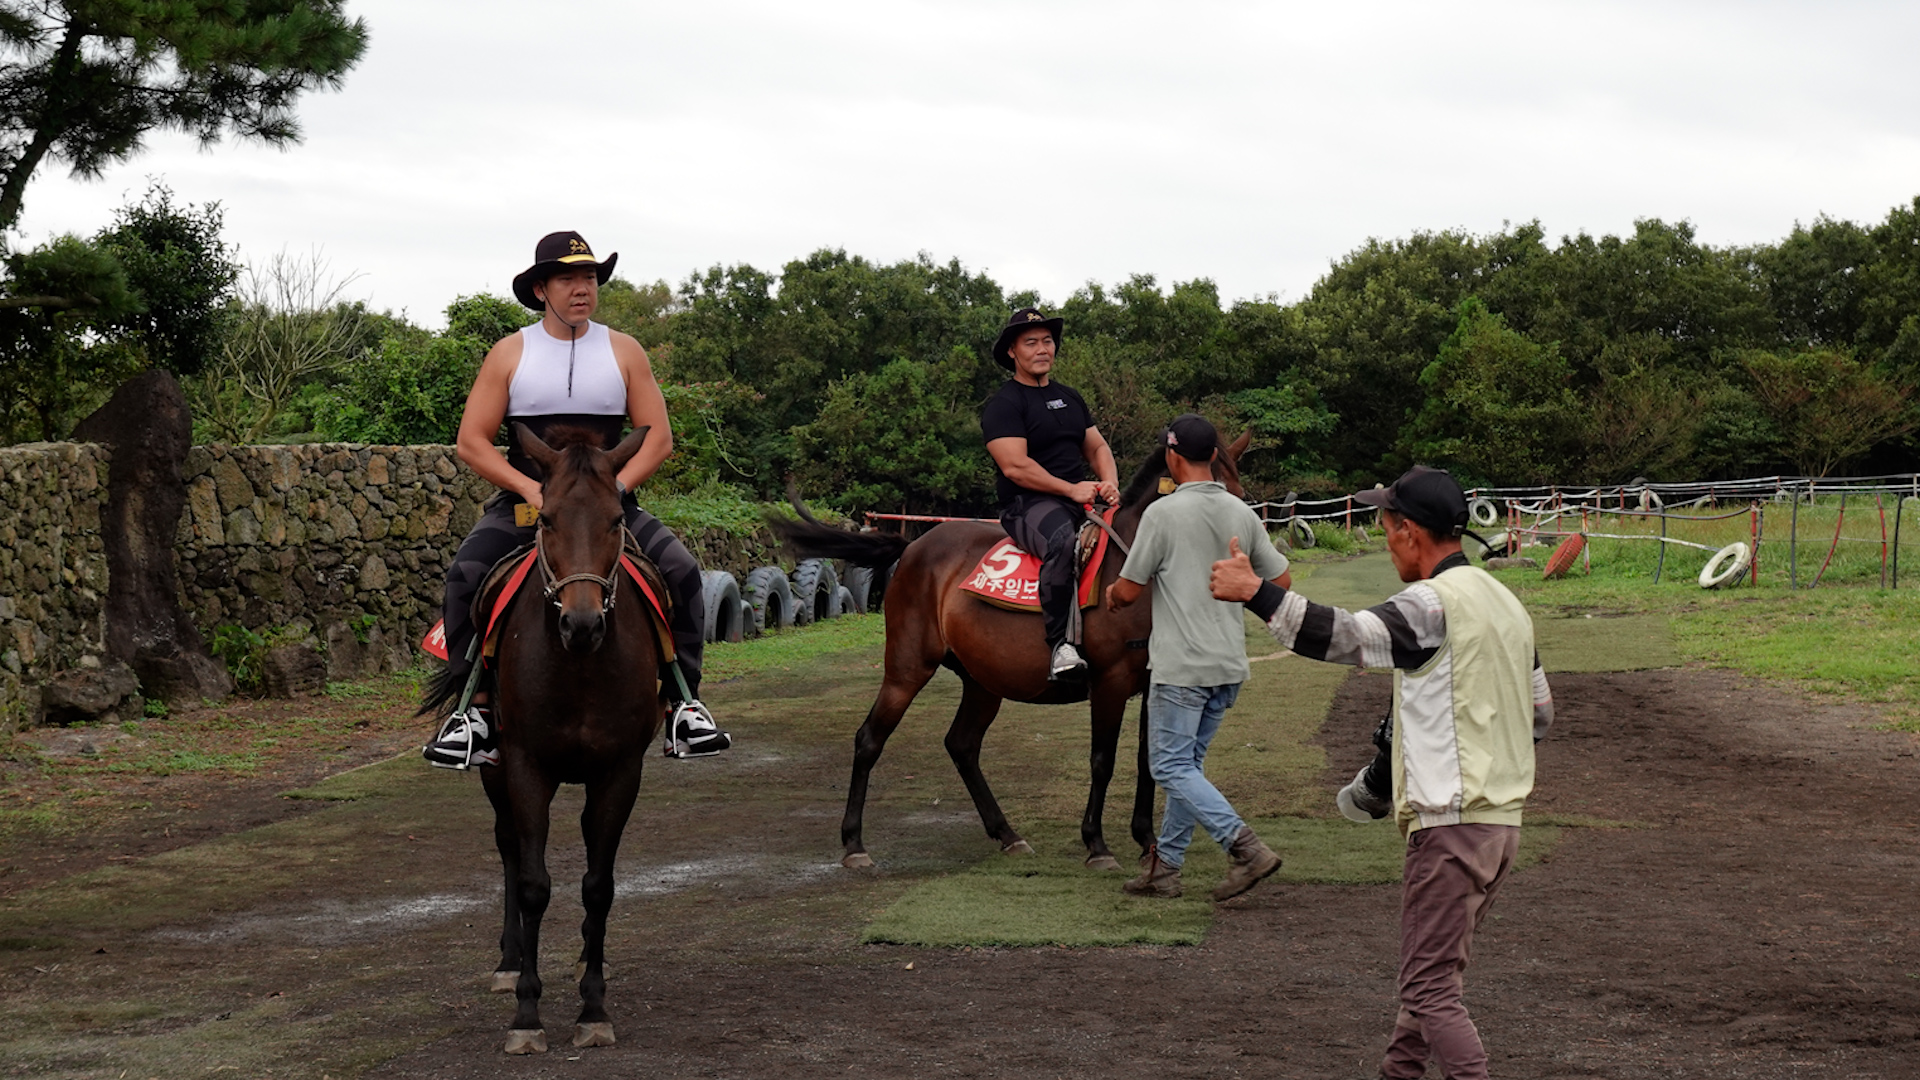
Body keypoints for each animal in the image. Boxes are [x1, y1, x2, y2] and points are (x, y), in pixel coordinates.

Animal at [441, 422, 668, 1053]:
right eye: (544, 519)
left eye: (616, 519)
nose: (582, 624)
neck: (579, 668)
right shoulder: (525, 767)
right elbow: (533, 884)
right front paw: (526, 1013)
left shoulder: (620, 771)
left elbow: (598, 885)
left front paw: (593, 1007)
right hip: (496, 771)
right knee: (509, 850)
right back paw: (509, 962)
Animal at [771, 428, 1251, 864]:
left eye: (1238, 497)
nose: (1238, 564)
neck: (1133, 570)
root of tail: (913, 547)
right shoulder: (1110, 682)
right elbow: (1102, 759)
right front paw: (1096, 844)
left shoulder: (1157, 682)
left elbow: (1152, 761)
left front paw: (1148, 841)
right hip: (907, 669)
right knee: (870, 739)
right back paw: (854, 842)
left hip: (982, 680)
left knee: (962, 745)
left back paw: (1006, 833)